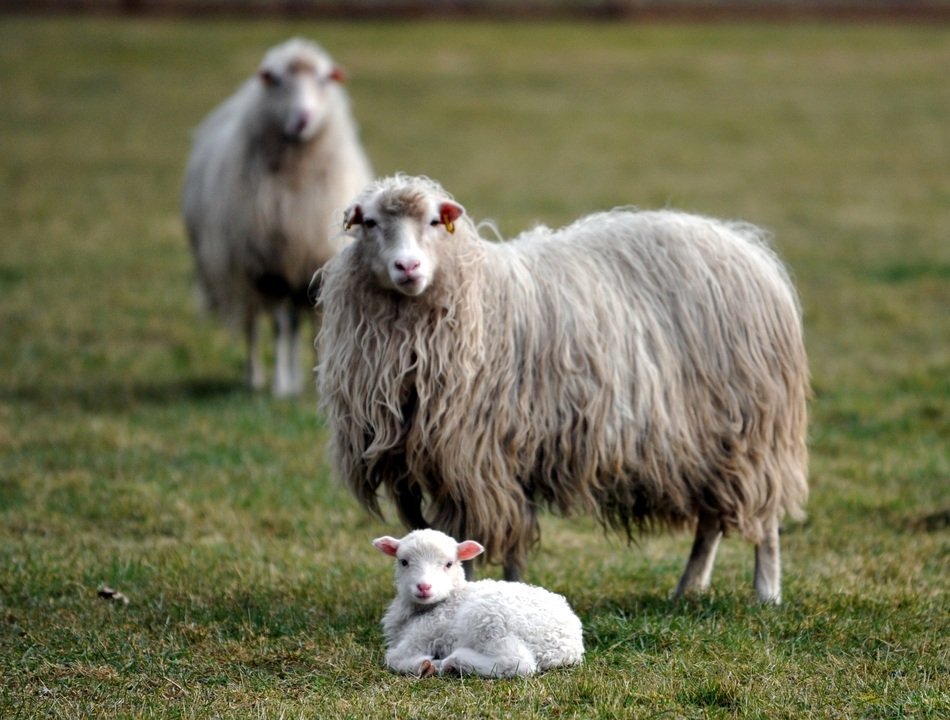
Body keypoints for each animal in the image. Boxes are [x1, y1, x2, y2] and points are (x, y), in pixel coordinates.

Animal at [182, 38, 372, 396]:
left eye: (323, 81)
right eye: (279, 82)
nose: (303, 118)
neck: (297, 176)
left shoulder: (314, 262)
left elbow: (313, 328)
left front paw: (314, 383)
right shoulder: (265, 266)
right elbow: (278, 328)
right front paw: (280, 385)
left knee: (294, 322)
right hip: (245, 273)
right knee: (255, 325)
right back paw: (256, 377)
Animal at [317, 174, 809, 604]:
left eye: (436, 222)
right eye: (371, 223)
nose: (408, 266)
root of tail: (746, 246)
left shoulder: (478, 457)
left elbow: (474, 544)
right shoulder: (462, 459)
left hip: (752, 431)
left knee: (764, 520)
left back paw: (766, 593)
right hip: (709, 443)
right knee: (710, 522)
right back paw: (689, 588)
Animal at [374, 529, 584, 678]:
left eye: (449, 564)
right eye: (404, 562)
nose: (424, 587)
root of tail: (568, 647)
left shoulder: (425, 633)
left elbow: (392, 658)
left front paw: (424, 666)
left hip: (489, 621)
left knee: (518, 663)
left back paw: (453, 662)